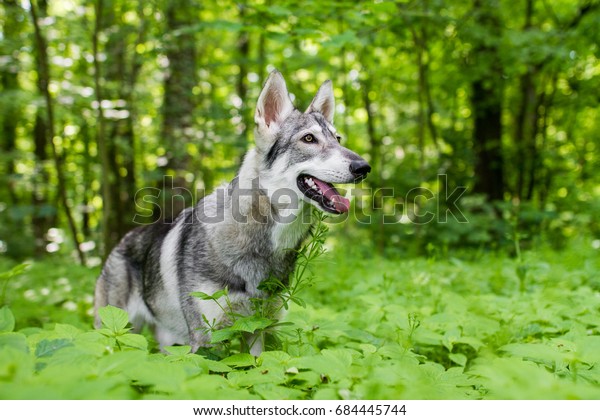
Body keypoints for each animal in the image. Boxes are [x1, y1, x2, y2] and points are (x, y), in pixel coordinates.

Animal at [94, 71, 370, 354]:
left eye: (338, 140)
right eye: (308, 139)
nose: (364, 167)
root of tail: (121, 241)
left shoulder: (258, 330)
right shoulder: (205, 341)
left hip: (170, 342)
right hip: (116, 335)